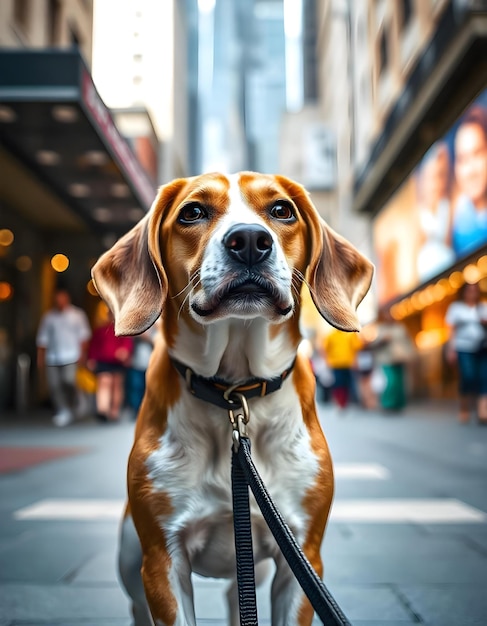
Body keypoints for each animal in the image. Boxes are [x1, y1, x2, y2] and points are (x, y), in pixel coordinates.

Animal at [91, 172, 374, 624]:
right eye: (192, 212)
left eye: (281, 210)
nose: (250, 241)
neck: (234, 390)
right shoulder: (163, 562)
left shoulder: (302, 560)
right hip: (131, 562)